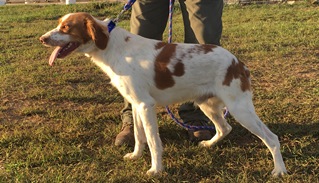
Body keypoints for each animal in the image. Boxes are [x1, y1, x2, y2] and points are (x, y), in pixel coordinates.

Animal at [39, 12, 288, 177]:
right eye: (59, 25)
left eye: (66, 27)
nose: (42, 39)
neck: (111, 47)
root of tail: (238, 62)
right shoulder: (136, 104)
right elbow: (138, 136)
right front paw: (135, 156)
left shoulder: (146, 105)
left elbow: (153, 141)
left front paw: (155, 169)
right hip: (207, 105)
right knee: (225, 128)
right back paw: (209, 144)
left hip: (240, 109)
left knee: (272, 138)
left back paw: (279, 170)